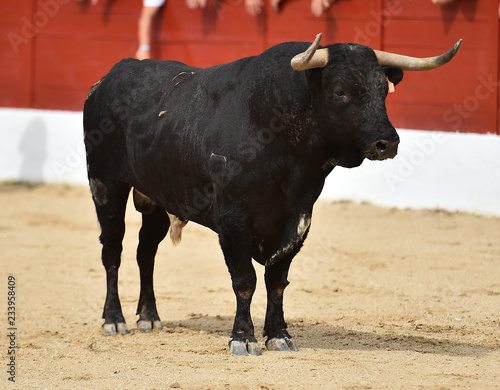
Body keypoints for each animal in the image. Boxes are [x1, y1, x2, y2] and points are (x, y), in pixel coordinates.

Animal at [82, 35, 460, 354]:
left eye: (384, 90)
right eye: (340, 91)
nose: (387, 142)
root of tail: (110, 77)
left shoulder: (299, 218)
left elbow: (277, 281)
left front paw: (279, 335)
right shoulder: (232, 220)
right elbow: (245, 281)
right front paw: (243, 338)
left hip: (157, 197)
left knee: (146, 252)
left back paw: (149, 316)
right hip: (106, 186)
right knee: (112, 251)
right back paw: (114, 319)